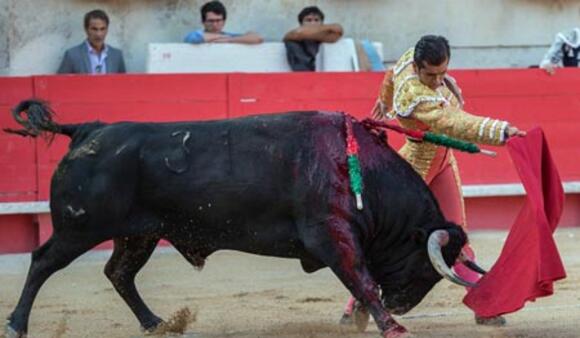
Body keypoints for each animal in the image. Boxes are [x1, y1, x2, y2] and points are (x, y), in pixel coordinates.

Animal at [4, 100, 474, 338]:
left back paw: (156, 323)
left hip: (138, 234)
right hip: (79, 228)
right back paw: (16, 324)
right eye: (425, 265)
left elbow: (362, 281)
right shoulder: (330, 233)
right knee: (43, 261)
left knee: (119, 272)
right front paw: (391, 326)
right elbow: (361, 278)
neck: (357, 167)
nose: (402, 304)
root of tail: (88, 130)